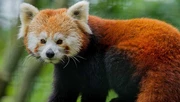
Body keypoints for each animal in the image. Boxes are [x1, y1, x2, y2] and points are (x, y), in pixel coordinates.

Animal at [19, 0, 180, 102]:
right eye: (43, 41)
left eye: (59, 41)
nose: (50, 54)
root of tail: (171, 52)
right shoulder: (67, 70)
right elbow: (64, 91)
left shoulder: (95, 59)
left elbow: (95, 90)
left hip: (134, 54)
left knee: (115, 65)